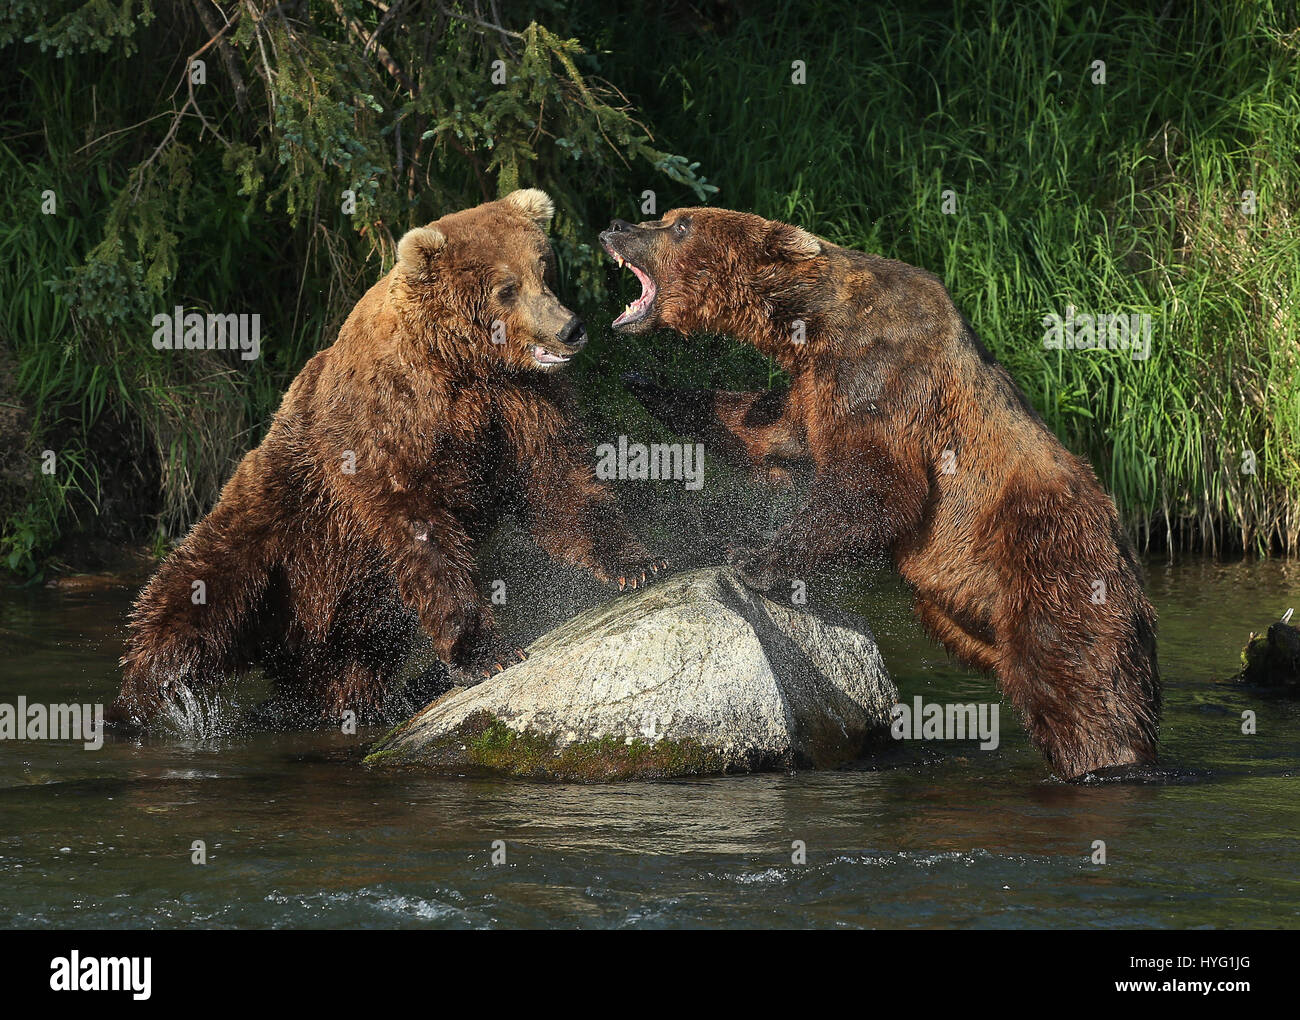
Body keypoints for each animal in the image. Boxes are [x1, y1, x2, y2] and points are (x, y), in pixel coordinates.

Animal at [107, 191, 665, 727]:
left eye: (544, 268)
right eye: (506, 287)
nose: (570, 328)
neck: (462, 365)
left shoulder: (521, 402)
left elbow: (557, 478)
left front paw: (638, 563)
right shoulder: (391, 423)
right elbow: (422, 533)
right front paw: (487, 653)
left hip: (354, 616)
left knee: (346, 671)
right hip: (272, 529)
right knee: (187, 604)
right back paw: (147, 699)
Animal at [603, 209, 1164, 779]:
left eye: (679, 226)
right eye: (666, 217)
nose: (616, 226)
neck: (814, 325)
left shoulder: (887, 378)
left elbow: (878, 487)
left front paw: (753, 559)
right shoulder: (814, 389)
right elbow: (769, 433)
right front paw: (647, 383)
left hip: (1050, 566)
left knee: (1076, 685)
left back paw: (1104, 760)